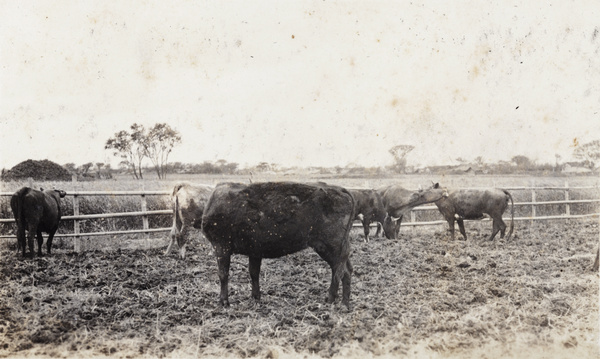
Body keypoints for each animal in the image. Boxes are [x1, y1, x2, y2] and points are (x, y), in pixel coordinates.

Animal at [200, 183, 356, 310]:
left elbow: (223, 274)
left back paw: (330, 300)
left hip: (330, 246)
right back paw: (345, 304)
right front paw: (256, 298)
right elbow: (253, 273)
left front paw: (223, 302)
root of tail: (339, 189)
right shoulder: (254, 250)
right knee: (347, 270)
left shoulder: (221, 246)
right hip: (338, 248)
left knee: (339, 271)